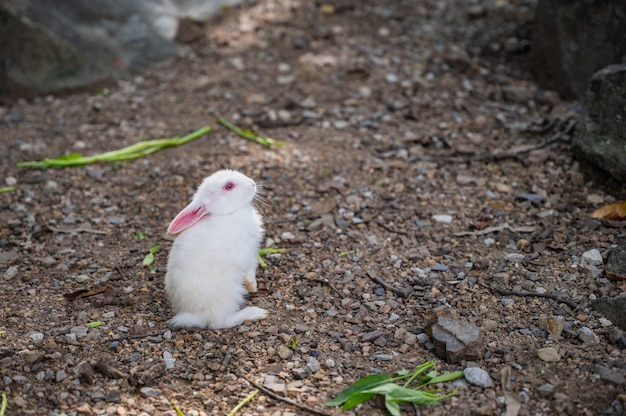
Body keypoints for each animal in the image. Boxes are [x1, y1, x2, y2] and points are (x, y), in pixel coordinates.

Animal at [163, 169, 266, 328]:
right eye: (229, 186)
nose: (252, 184)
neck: (227, 214)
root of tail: (194, 316)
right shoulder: (248, 255)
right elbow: (250, 272)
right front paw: (253, 287)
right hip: (230, 296)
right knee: (221, 323)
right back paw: (254, 313)